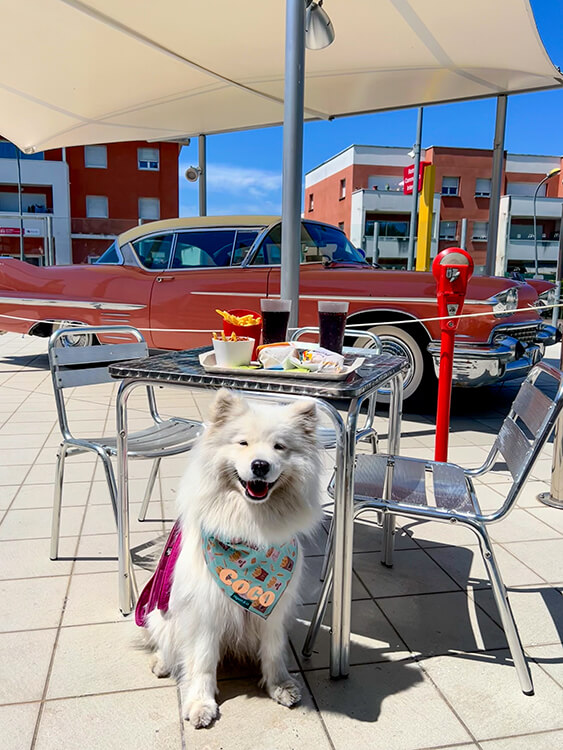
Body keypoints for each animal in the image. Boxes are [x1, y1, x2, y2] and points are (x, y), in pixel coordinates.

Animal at [145, 390, 322, 732]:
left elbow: (273, 651)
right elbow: (201, 661)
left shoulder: (274, 608)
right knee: (167, 641)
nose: (260, 465)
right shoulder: (205, 609)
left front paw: (280, 685)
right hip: (162, 612)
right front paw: (200, 704)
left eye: (280, 447)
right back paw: (161, 662)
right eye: (243, 443)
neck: (251, 531)